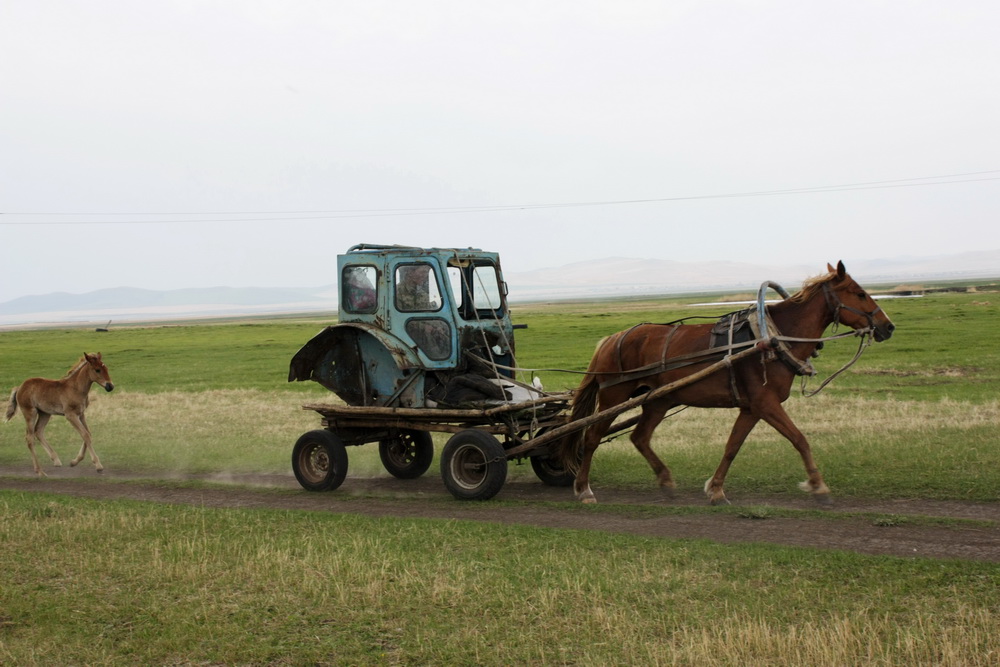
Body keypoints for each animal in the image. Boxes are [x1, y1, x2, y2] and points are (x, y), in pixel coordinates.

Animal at [560, 264, 896, 504]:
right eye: (859, 293)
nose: (888, 326)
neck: (772, 336)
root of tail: (611, 339)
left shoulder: (751, 408)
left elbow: (732, 446)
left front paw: (716, 489)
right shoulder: (765, 403)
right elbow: (800, 439)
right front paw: (819, 487)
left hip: (659, 400)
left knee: (640, 437)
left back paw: (666, 481)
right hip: (615, 396)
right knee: (591, 438)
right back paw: (584, 489)